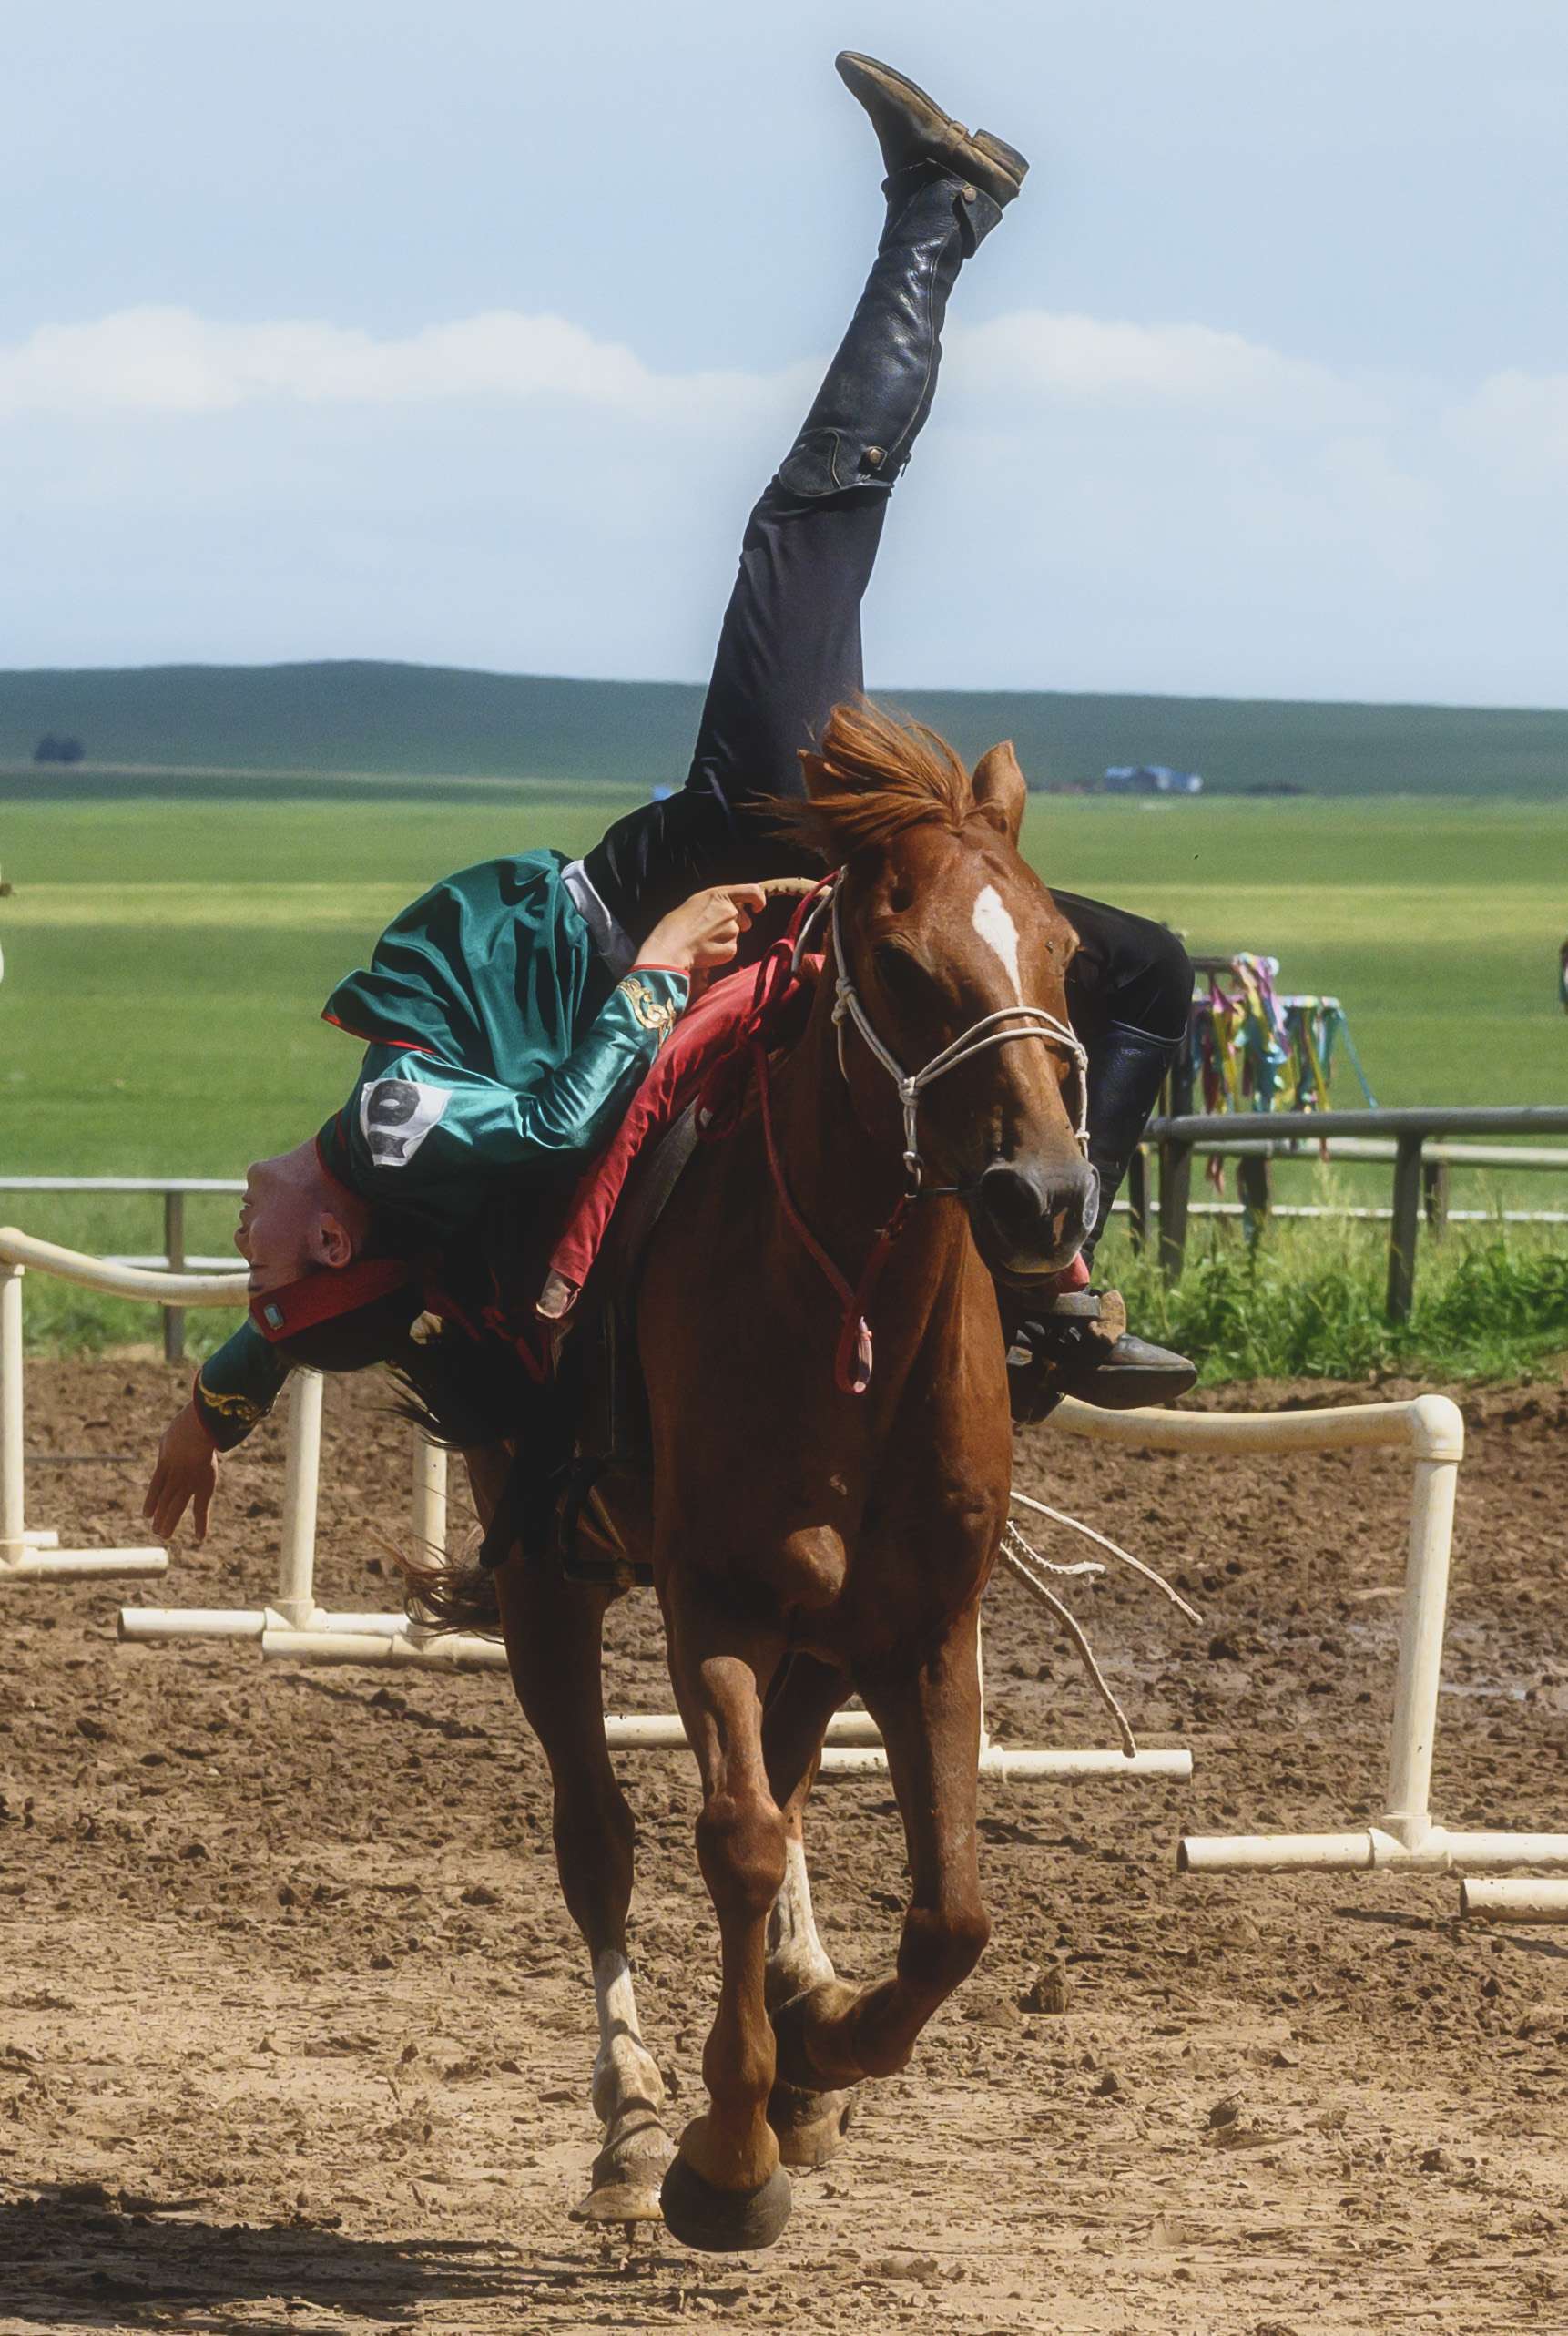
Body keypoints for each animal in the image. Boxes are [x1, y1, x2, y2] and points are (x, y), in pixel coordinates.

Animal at [488, 700, 1094, 2251]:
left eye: (1061, 946)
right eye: (901, 964)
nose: (1047, 1197)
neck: (851, 1320)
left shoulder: (927, 1628)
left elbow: (951, 1913)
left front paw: (820, 2046)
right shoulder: (717, 1602)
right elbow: (733, 1840)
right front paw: (725, 2147)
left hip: (824, 1635)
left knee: (797, 1788)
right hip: (545, 1584)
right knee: (607, 1836)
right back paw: (632, 2117)